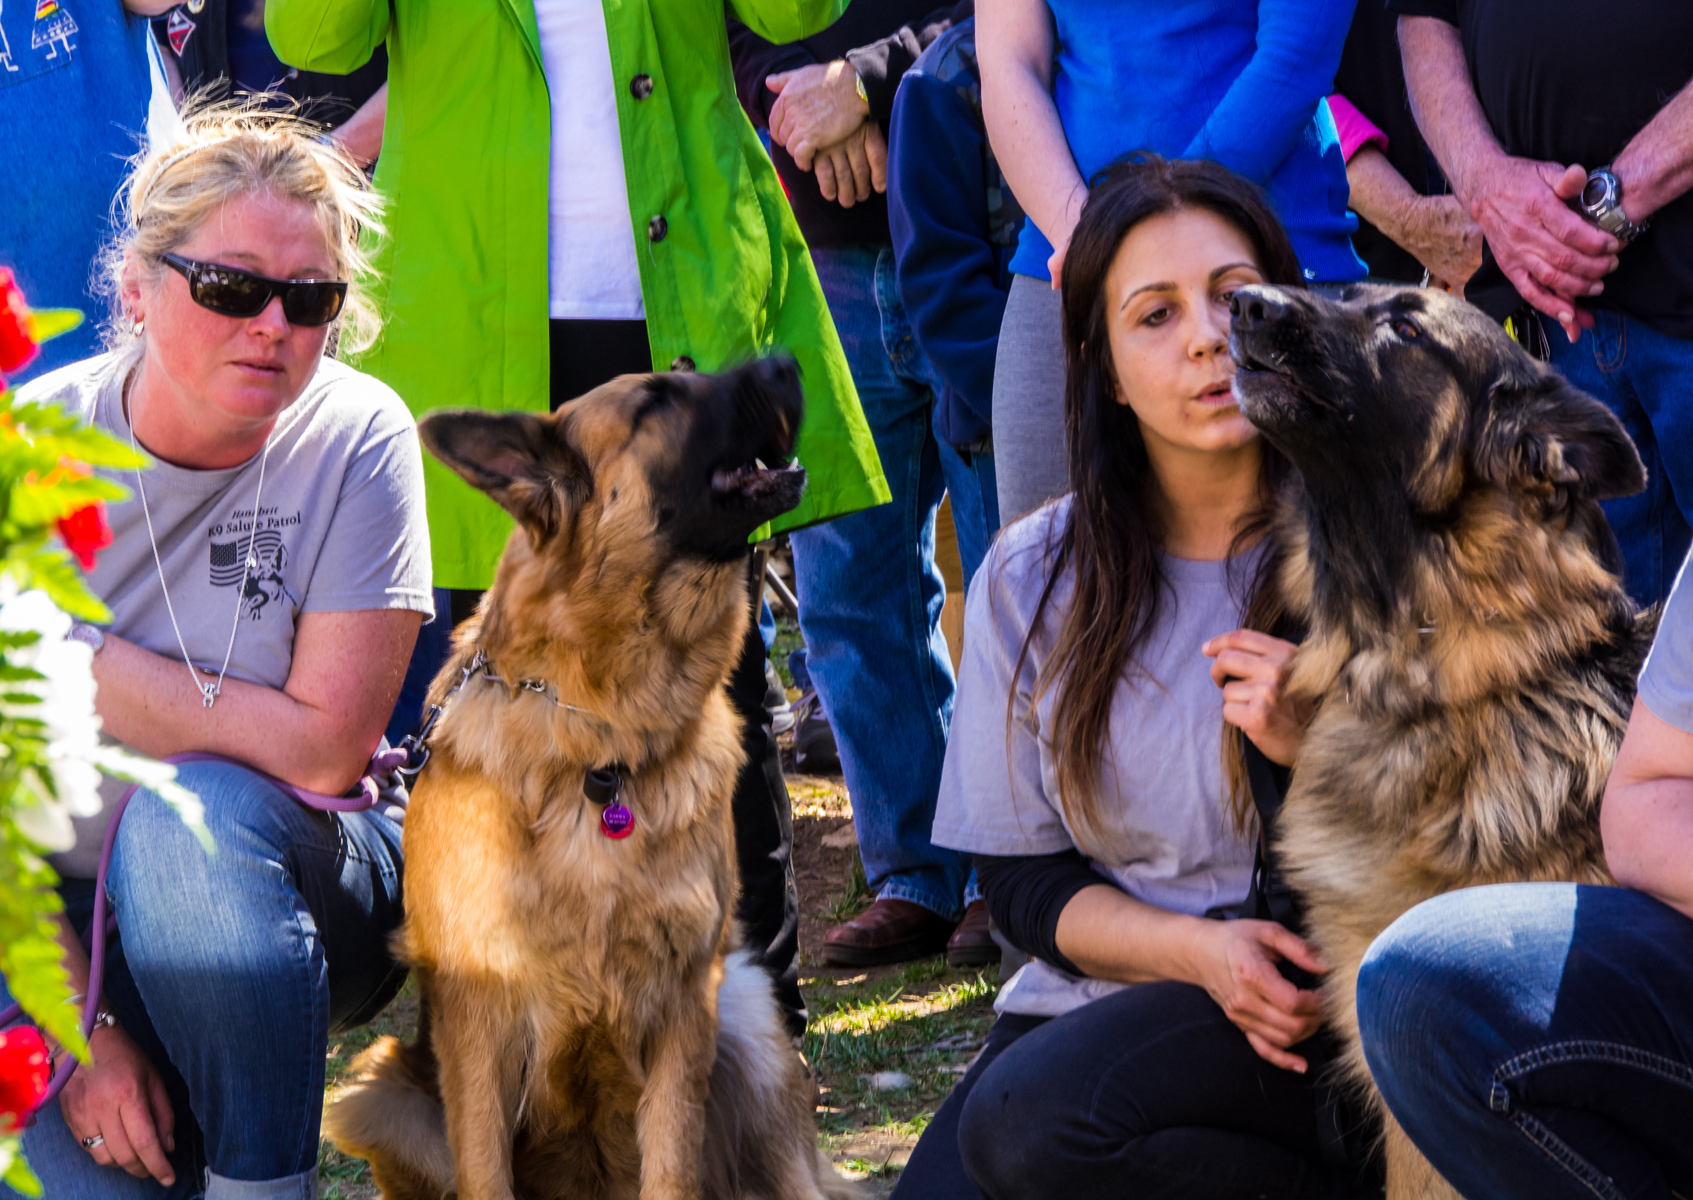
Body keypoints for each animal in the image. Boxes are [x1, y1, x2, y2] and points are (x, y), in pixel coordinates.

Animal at [326, 360, 860, 1198]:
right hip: (376, 1093)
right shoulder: (479, 1026)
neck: (602, 736)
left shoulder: (683, 1011)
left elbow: (670, 1172)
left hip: (748, 1017)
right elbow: (485, 1174)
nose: (785, 363)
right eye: (657, 399)